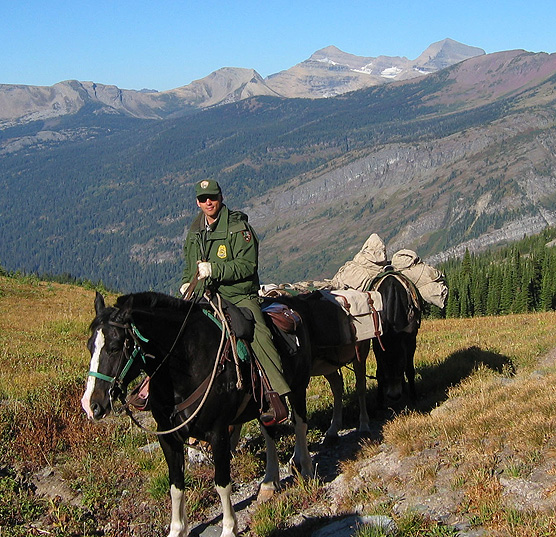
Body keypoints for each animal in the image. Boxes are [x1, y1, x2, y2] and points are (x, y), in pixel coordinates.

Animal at [370, 270, 422, 404]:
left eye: (401, 364)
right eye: (384, 364)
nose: (393, 396)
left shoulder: (410, 340)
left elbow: (409, 370)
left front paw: (413, 397)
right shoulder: (377, 344)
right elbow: (379, 373)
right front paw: (379, 402)